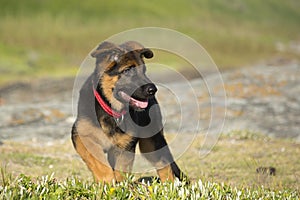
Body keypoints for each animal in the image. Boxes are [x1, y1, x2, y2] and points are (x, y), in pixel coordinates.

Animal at [71, 41, 186, 183]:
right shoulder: (81, 136)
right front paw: (106, 181)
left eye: (144, 71)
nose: (153, 89)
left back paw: (168, 186)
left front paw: (119, 186)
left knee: (164, 164)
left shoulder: (125, 148)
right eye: (127, 70)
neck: (111, 110)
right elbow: (99, 162)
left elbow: (121, 173)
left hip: (152, 142)